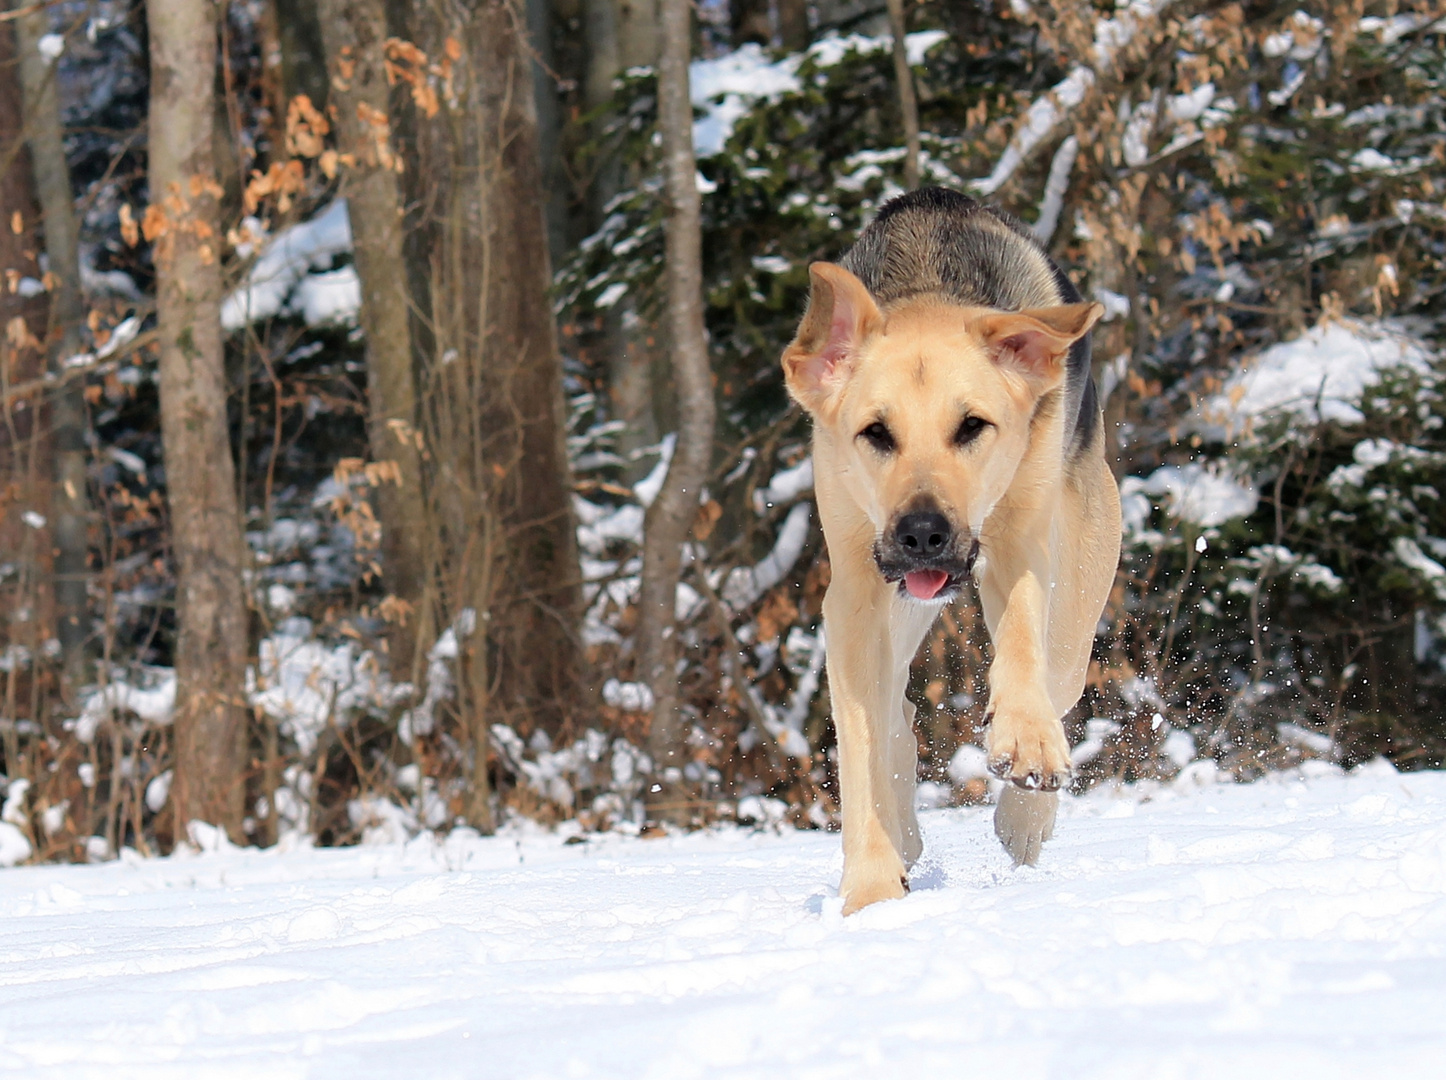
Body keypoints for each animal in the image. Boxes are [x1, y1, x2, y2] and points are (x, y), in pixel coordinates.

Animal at [786, 189, 1122, 919]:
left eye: (973, 426)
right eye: (874, 433)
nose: (922, 534)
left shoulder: (1021, 541)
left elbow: (1022, 643)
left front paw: (1025, 747)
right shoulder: (856, 586)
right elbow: (859, 739)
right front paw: (873, 889)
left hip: (1084, 569)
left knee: (1058, 673)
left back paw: (1025, 818)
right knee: (895, 707)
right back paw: (907, 834)